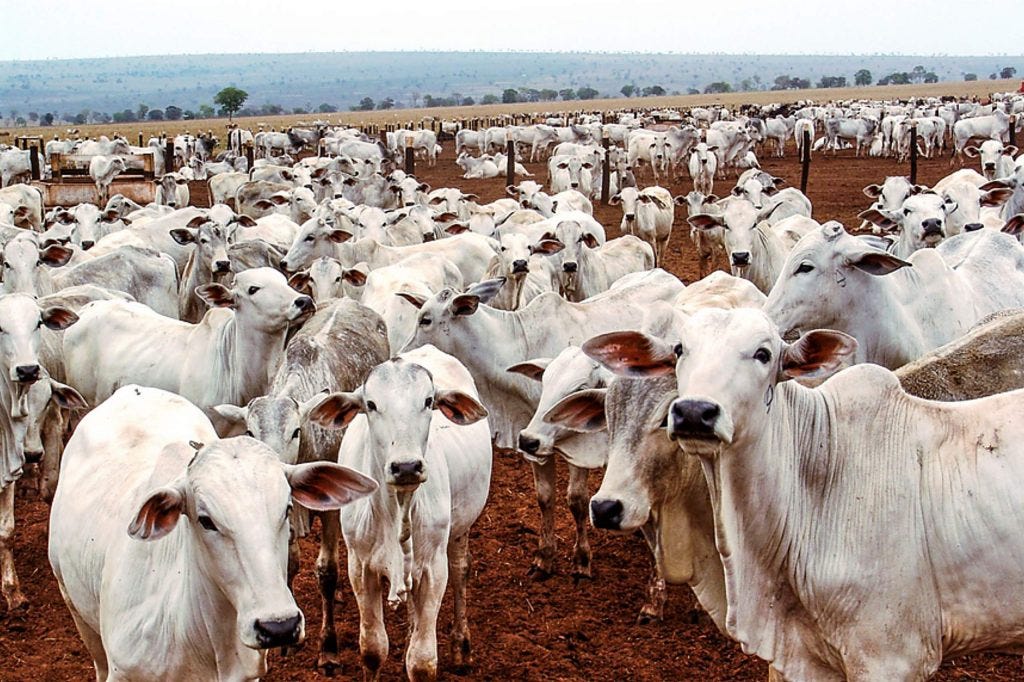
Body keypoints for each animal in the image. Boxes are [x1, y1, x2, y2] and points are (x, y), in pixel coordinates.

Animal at [309, 345, 491, 680]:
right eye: (370, 404)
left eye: (429, 401)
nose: (406, 467)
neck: (397, 510)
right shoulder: (360, 567)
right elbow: (372, 649)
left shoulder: (433, 569)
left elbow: (422, 661)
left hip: (460, 530)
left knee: (461, 570)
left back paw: (461, 646)